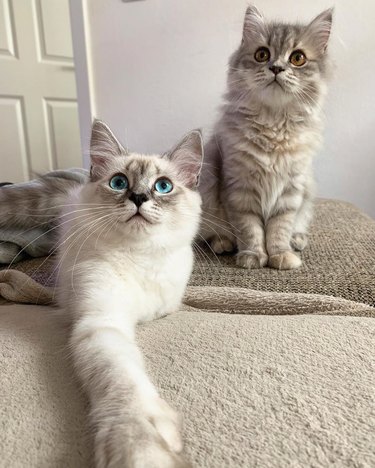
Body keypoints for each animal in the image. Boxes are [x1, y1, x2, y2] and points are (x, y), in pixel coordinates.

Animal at [57, 120, 203, 468]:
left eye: (163, 186)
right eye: (119, 182)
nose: (138, 197)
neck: (140, 257)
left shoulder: (167, 306)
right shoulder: (101, 321)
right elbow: (123, 380)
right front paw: (141, 450)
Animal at [201, 5, 334, 270]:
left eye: (297, 58)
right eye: (262, 54)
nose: (276, 68)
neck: (274, 125)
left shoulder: (290, 191)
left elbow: (278, 229)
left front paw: (281, 255)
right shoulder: (239, 189)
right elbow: (250, 229)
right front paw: (253, 256)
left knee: (297, 226)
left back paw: (297, 240)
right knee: (210, 234)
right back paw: (222, 243)